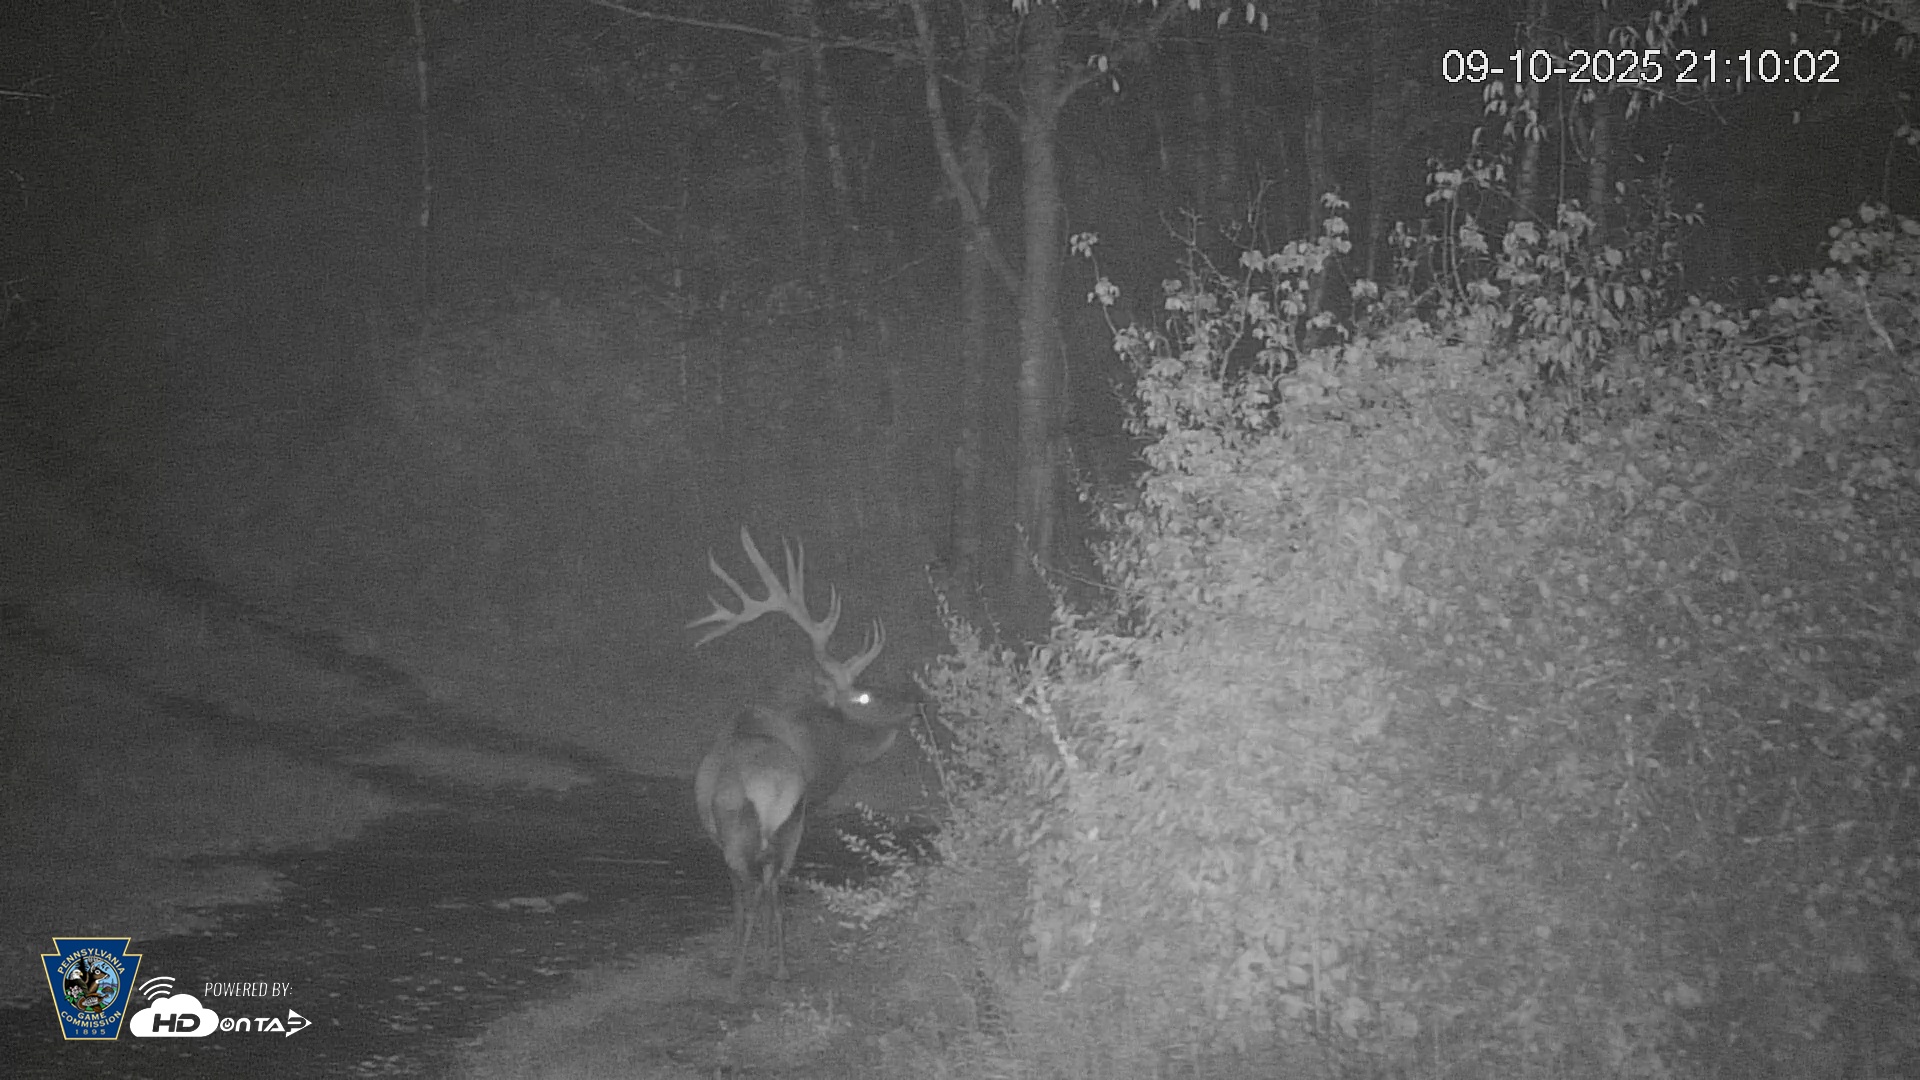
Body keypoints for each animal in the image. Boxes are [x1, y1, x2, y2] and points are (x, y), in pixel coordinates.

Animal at [690, 527, 915, 998]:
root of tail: (770, 786)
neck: (816, 756)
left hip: (750, 833)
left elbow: (741, 901)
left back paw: (746, 973)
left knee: (759, 891)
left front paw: (740, 960)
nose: (916, 704)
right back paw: (769, 967)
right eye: (863, 695)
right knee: (771, 889)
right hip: (785, 828)